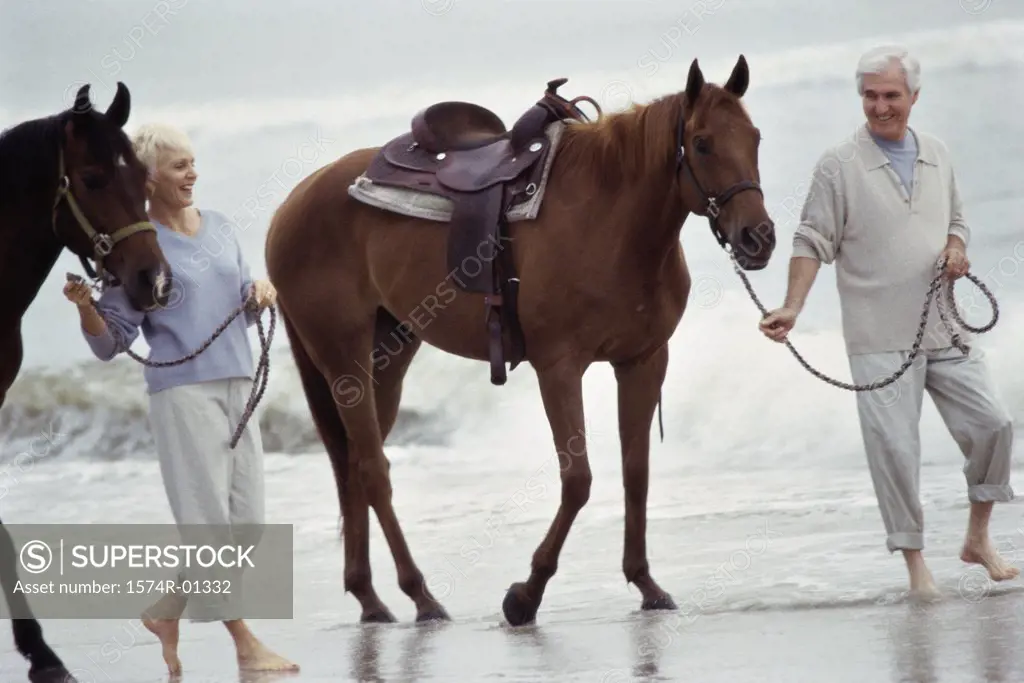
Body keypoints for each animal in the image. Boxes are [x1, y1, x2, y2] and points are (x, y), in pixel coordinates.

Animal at [264, 56, 774, 626]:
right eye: (703, 143)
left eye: (754, 137)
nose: (759, 237)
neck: (611, 219)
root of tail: (292, 203)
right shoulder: (559, 367)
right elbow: (578, 480)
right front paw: (526, 594)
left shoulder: (642, 362)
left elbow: (635, 473)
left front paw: (645, 583)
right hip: (344, 359)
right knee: (373, 470)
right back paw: (420, 595)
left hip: (389, 354)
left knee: (354, 466)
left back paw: (371, 598)